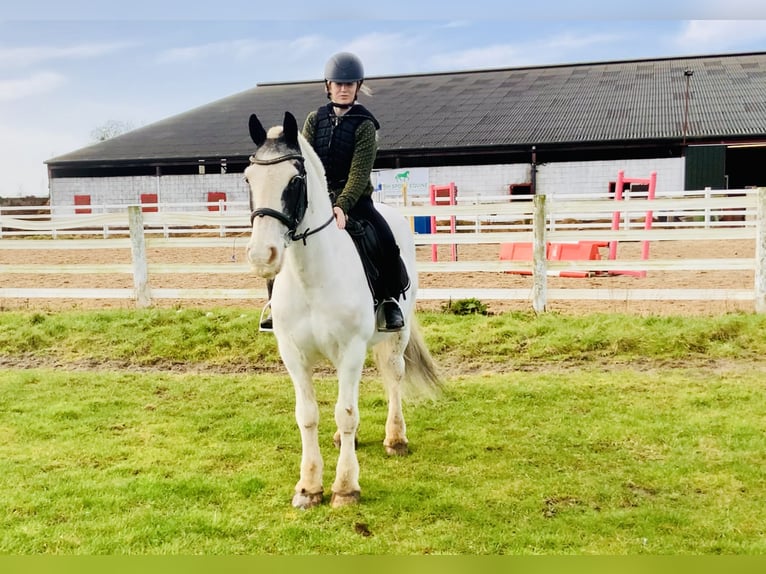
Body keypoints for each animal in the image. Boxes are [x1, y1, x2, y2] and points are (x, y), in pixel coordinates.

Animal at [243, 115, 440, 510]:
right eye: (247, 178)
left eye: (295, 180)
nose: (261, 256)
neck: (311, 277)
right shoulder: (293, 354)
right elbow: (307, 416)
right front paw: (308, 487)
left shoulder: (351, 350)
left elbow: (347, 413)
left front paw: (345, 487)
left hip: (397, 334)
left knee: (394, 376)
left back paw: (396, 439)